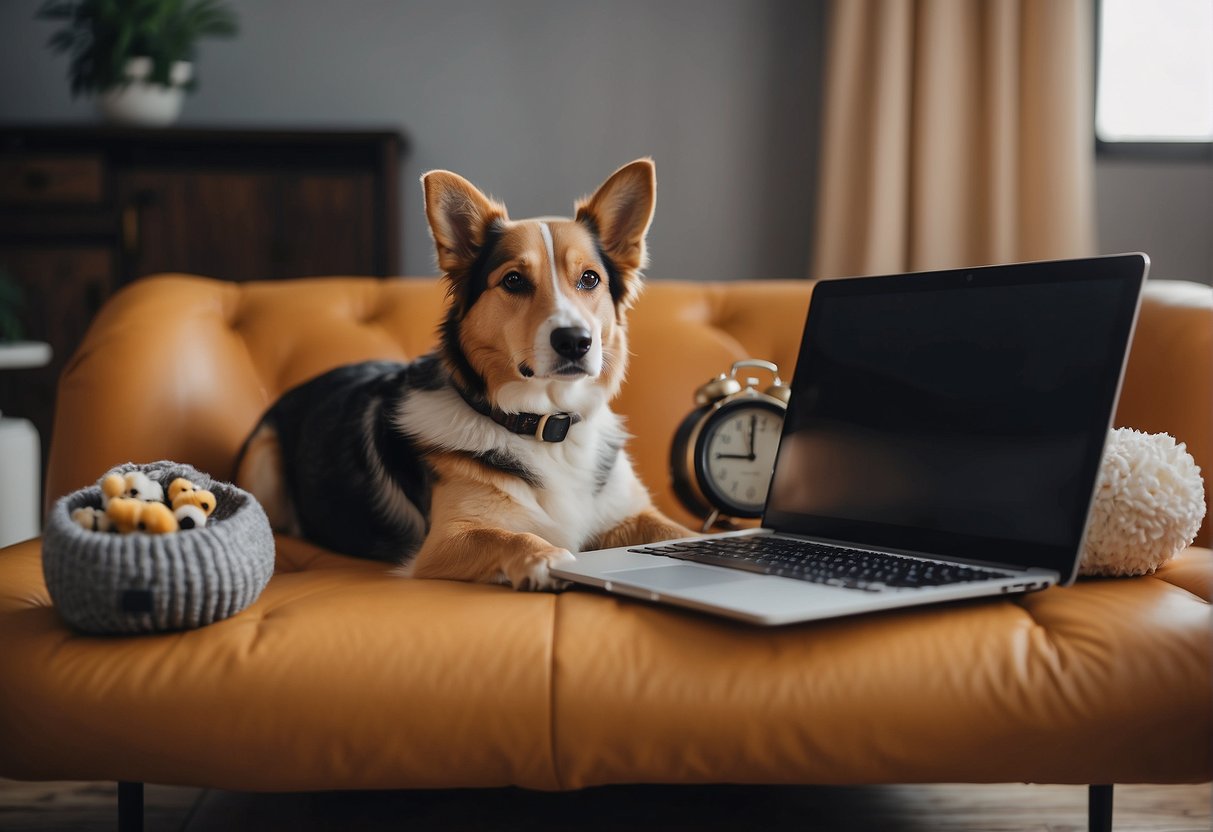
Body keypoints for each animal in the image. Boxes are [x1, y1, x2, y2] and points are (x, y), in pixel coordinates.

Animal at [235, 160, 693, 589]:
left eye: (590, 278)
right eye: (513, 280)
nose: (575, 342)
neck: (546, 426)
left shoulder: (632, 512)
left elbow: (679, 535)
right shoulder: (447, 539)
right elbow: (512, 537)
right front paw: (549, 560)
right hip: (263, 459)